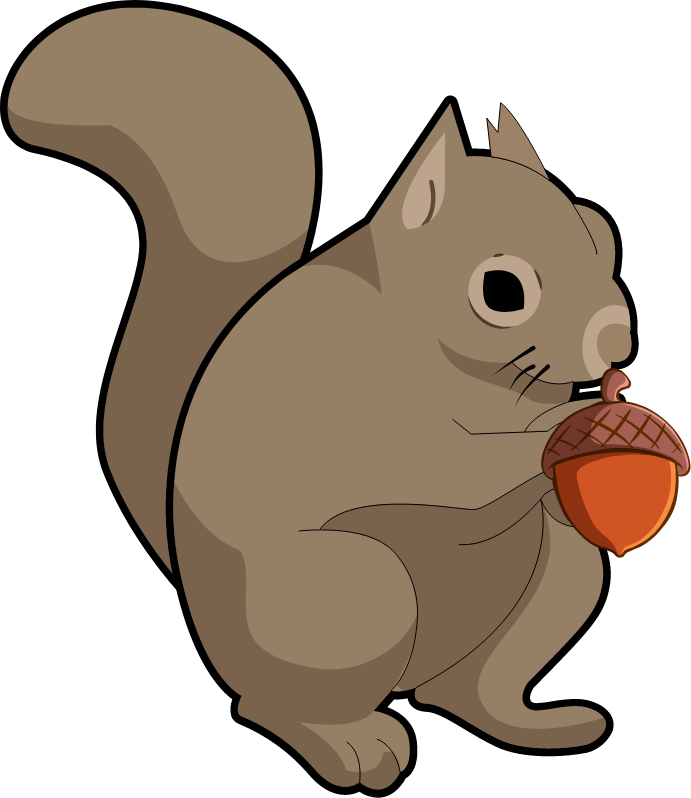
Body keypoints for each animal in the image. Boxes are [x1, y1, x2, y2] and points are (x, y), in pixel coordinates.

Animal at [9, 8, 636, 789]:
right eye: (502, 290)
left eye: (601, 232)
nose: (615, 336)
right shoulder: (360, 404)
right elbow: (448, 465)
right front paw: (569, 427)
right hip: (355, 593)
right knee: (269, 705)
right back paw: (351, 745)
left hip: (553, 582)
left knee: (462, 689)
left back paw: (527, 725)